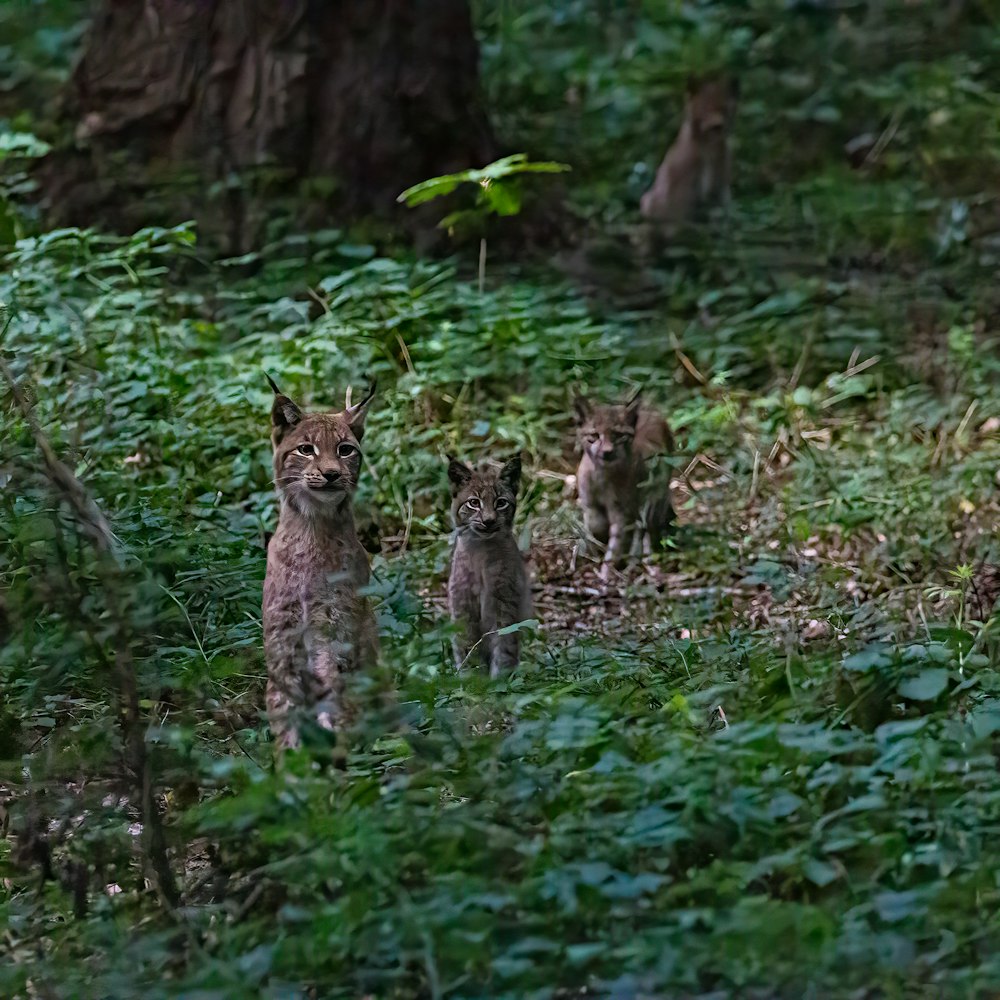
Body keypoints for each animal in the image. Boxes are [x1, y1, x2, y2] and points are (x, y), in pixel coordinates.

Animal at [262, 376, 378, 752]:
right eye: (305, 449)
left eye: (345, 450)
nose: (330, 474)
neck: (311, 526)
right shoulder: (282, 630)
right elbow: (284, 705)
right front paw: (289, 760)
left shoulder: (333, 624)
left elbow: (333, 687)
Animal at [450, 456, 536, 680]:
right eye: (474, 503)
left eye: (501, 503)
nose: (488, 521)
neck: (482, 546)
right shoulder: (462, 606)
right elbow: (467, 647)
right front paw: (472, 681)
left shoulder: (504, 603)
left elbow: (504, 645)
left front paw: (499, 681)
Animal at [576, 390, 676, 580]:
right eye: (594, 436)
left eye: (619, 435)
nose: (607, 452)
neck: (602, 474)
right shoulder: (588, 503)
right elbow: (595, 523)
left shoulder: (622, 510)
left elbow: (617, 538)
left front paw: (607, 571)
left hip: (653, 496)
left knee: (646, 527)